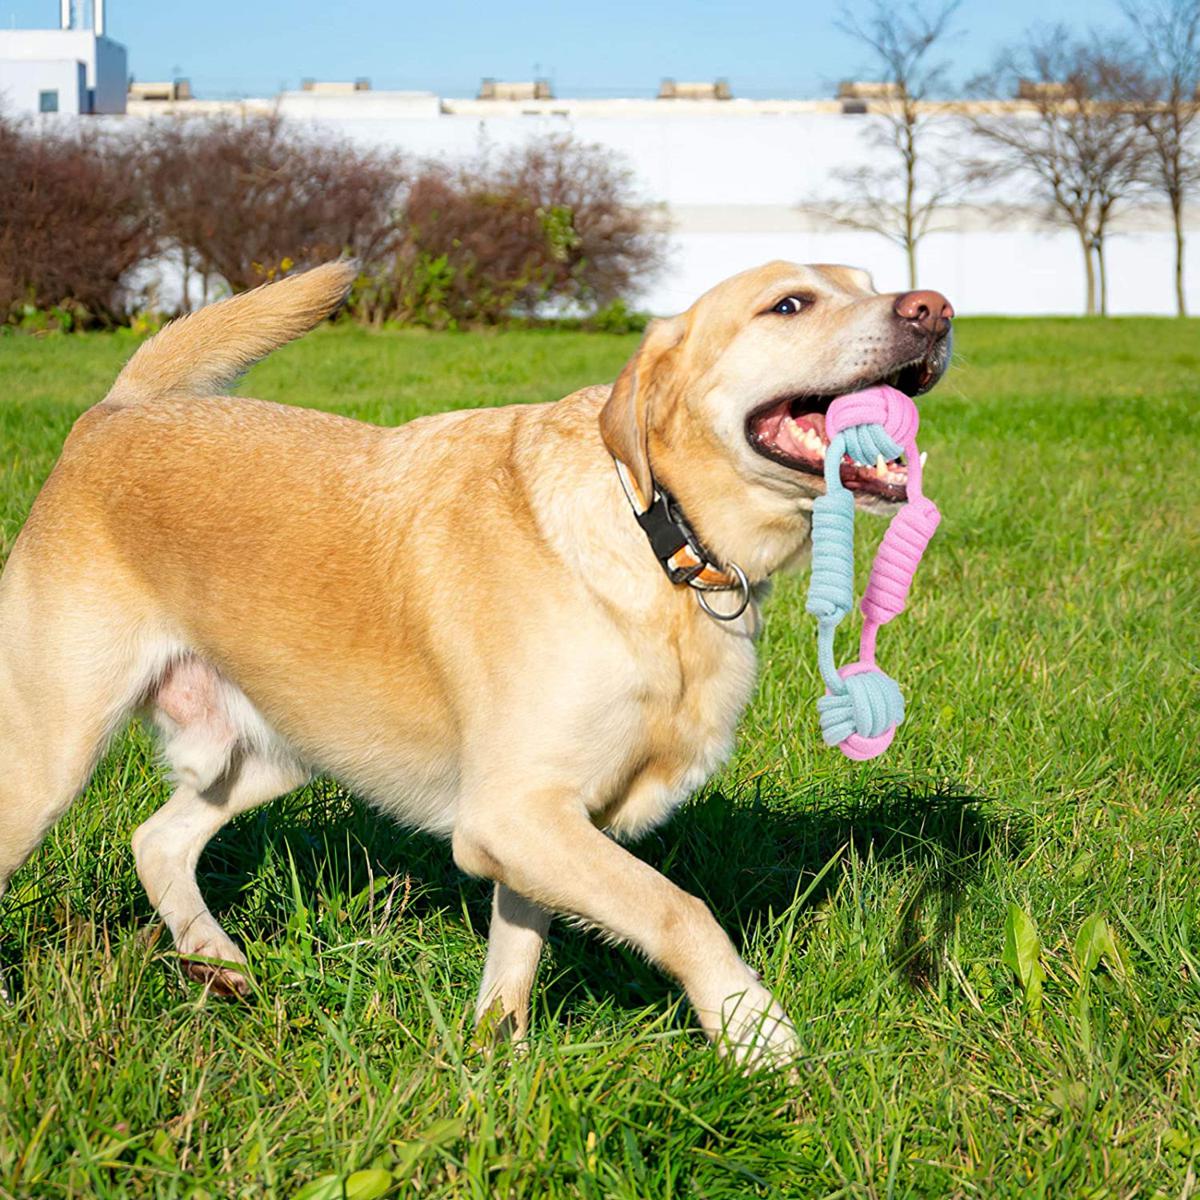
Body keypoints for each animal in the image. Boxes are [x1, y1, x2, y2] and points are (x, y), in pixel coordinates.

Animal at [0, 262, 955, 1070]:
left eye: (869, 280)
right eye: (789, 304)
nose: (935, 308)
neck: (659, 532)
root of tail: (115, 412)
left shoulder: (543, 821)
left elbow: (517, 955)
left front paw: (497, 1063)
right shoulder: (514, 814)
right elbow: (680, 910)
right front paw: (757, 1034)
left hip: (281, 748)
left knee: (157, 839)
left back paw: (218, 961)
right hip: (47, 762)